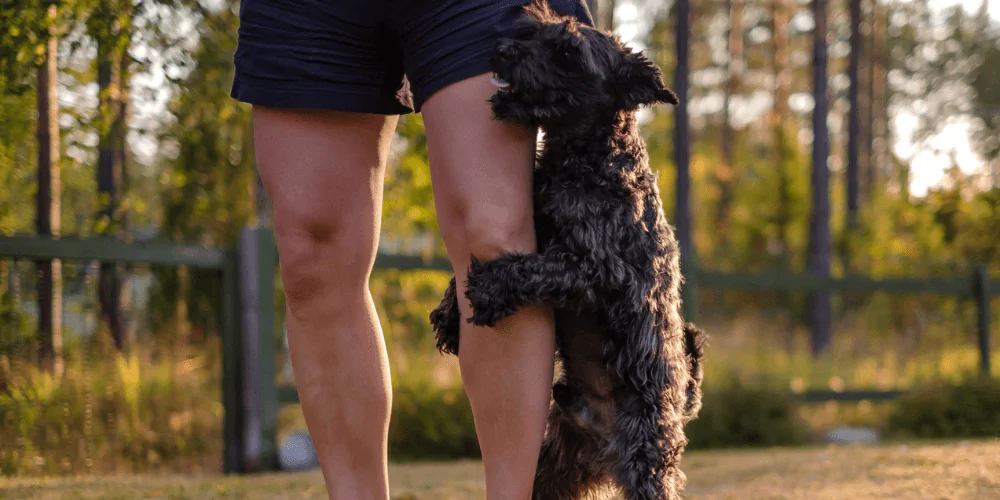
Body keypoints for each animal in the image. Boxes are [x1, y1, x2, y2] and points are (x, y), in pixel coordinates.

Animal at [428, 1, 704, 498]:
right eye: (532, 31)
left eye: (569, 53)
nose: (501, 50)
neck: (585, 158)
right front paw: (449, 313)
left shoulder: (600, 270)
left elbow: (540, 267)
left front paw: (490, 287)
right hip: (551, 470)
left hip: (647, 464)